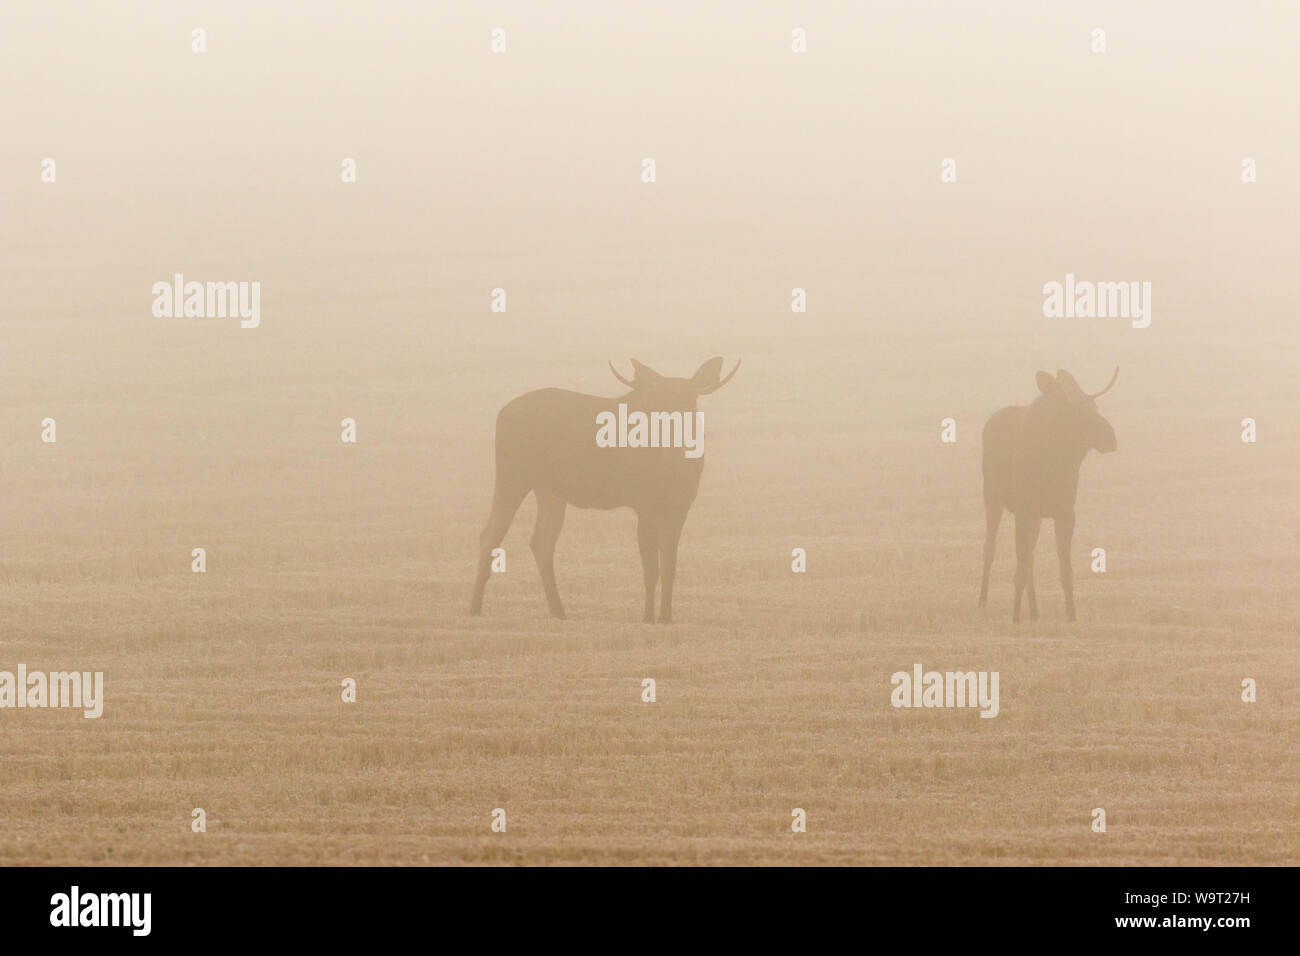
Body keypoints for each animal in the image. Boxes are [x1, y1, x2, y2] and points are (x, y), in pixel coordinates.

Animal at [470, 357, 740, 623]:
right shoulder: (644, 504)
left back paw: (559, 611)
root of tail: (502, 413)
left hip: (550, 491)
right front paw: (647, 618)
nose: (672, 446)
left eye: (689, 403)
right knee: (490, 535)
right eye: (656, 402)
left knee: (541, 542)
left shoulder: (681, 506)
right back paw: (475, 608)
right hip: (512, 476)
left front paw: (666, 618)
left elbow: (669, 568)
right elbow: (651, 569)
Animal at [979, 368, 1118, 623]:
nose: (1111, 438)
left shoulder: (1065, 514)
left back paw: (1034, 612)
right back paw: (981, 604)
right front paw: (1015, 619)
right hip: (992, 498)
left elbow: (1065, 570)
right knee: (989, 547)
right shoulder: (1023, 512)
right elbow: (1019, 571)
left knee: (1030, 557)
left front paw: (1072, 618)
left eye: (1095, 407)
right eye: (1077, 412)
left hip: (1035, 517)